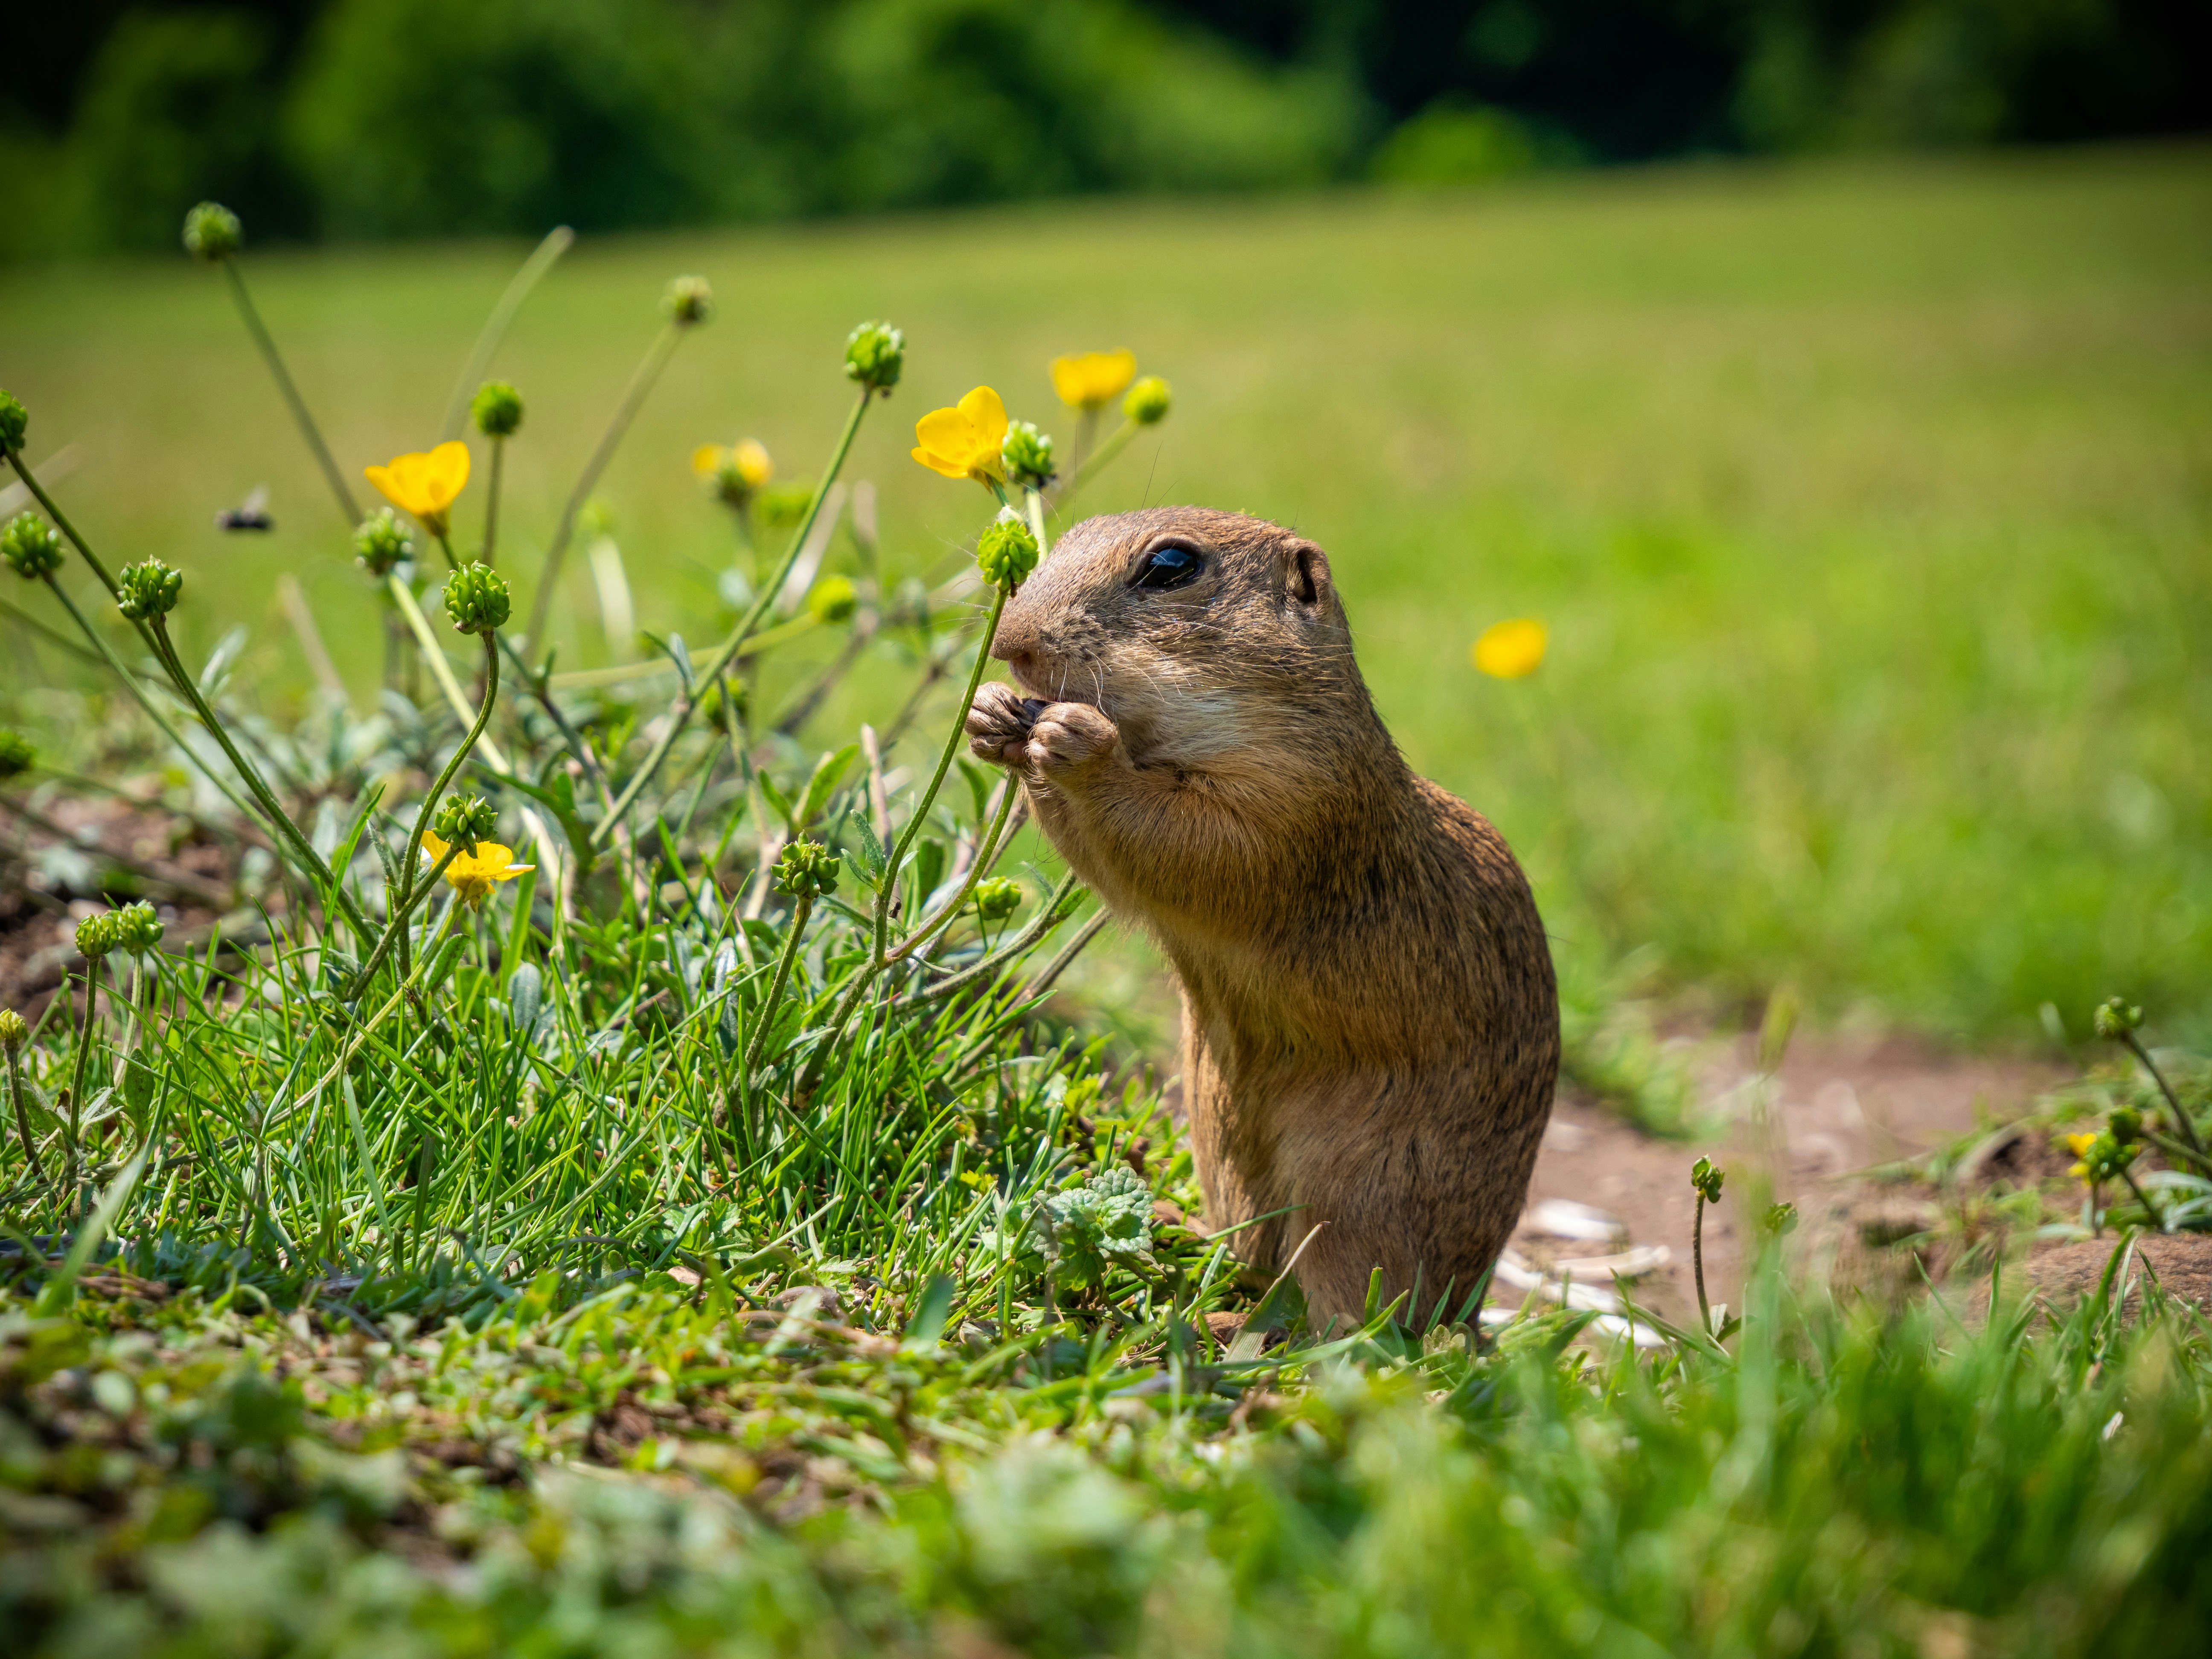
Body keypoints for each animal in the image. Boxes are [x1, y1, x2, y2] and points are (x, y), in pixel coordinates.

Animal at [964, 513, 1557, 1336]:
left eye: (1171, 566)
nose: (1008, 641)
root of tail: (1467, 1304)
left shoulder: (1294, 802)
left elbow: (1186, 841)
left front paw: (1078, 742)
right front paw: (992, 713)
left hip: (1354, 1198)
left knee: (1355, 1324)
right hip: (1228, 1158)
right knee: (1255, 1260)